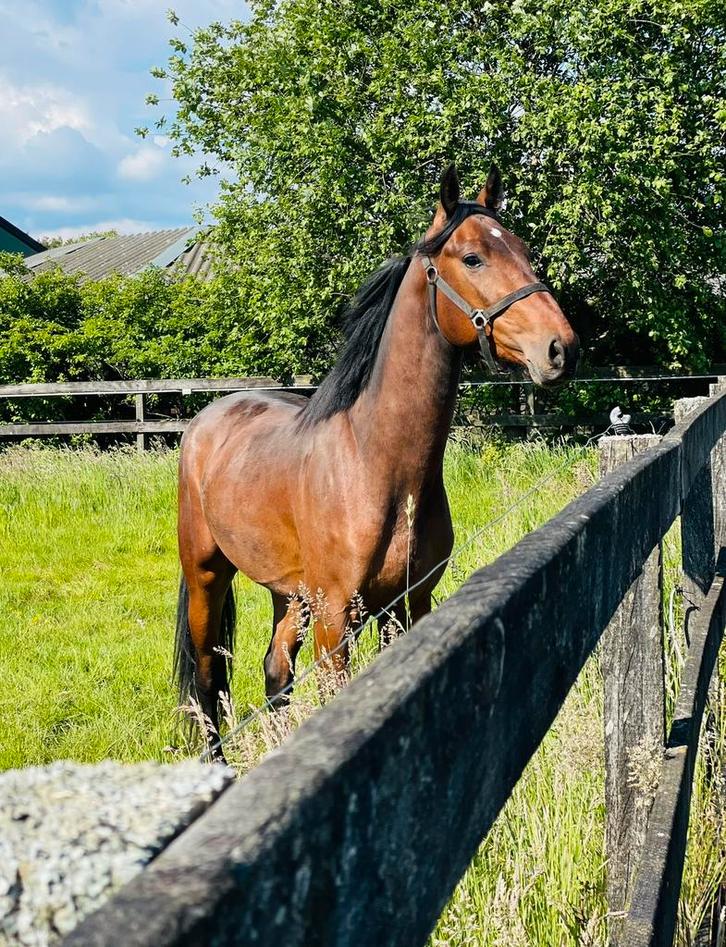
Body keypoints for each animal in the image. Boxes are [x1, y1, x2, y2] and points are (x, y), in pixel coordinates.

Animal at [174, 163, 579, 759]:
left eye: (525, 250)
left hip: (289, 593)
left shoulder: (409, 604)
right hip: (208, 576)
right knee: (207, 680)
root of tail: (206, 422)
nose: (560, 348)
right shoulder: (336, 621)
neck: (375, 464)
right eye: (473, 258)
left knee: (275, 670)